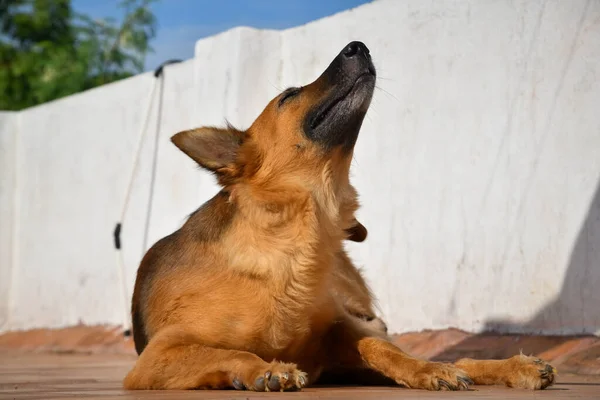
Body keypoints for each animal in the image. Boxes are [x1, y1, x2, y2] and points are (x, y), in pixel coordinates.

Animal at [123, 42, 556, 392]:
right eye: (289, 96)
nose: (358, 46)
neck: (292, 241)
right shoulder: (157, 355)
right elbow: (229, 353)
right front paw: (266, 370)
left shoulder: (340, 333)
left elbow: (383, 348)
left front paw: (427, 370)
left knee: (429, 351)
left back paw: (511, 367)